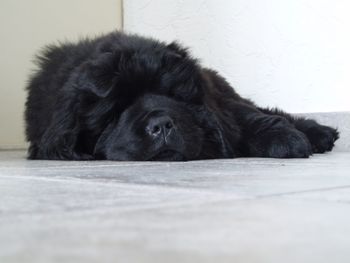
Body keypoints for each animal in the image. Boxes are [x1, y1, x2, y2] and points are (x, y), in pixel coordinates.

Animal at [25, 31, 340, 161]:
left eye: (173, 97)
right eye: (115, 111)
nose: (161, 124)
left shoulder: (219, 101)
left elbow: (246, 118)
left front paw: (286, 139)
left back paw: (321, 132)